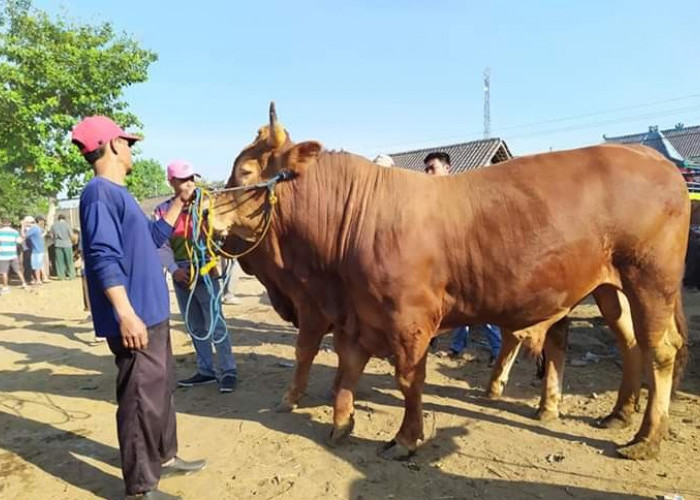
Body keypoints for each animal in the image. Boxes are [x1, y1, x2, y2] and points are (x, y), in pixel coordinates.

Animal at [209, 103, 688, 458]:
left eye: (246, 173)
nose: (207, 211)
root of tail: (652, 158)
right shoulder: (354, 315)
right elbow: (347, 368)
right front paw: (342, 422)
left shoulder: (409, 322)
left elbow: (407, 380)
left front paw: (406, 438)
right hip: (609, 288)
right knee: (630, 344)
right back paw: (618, 414)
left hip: (650, 280)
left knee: (661, 350)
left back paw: (645, 439)